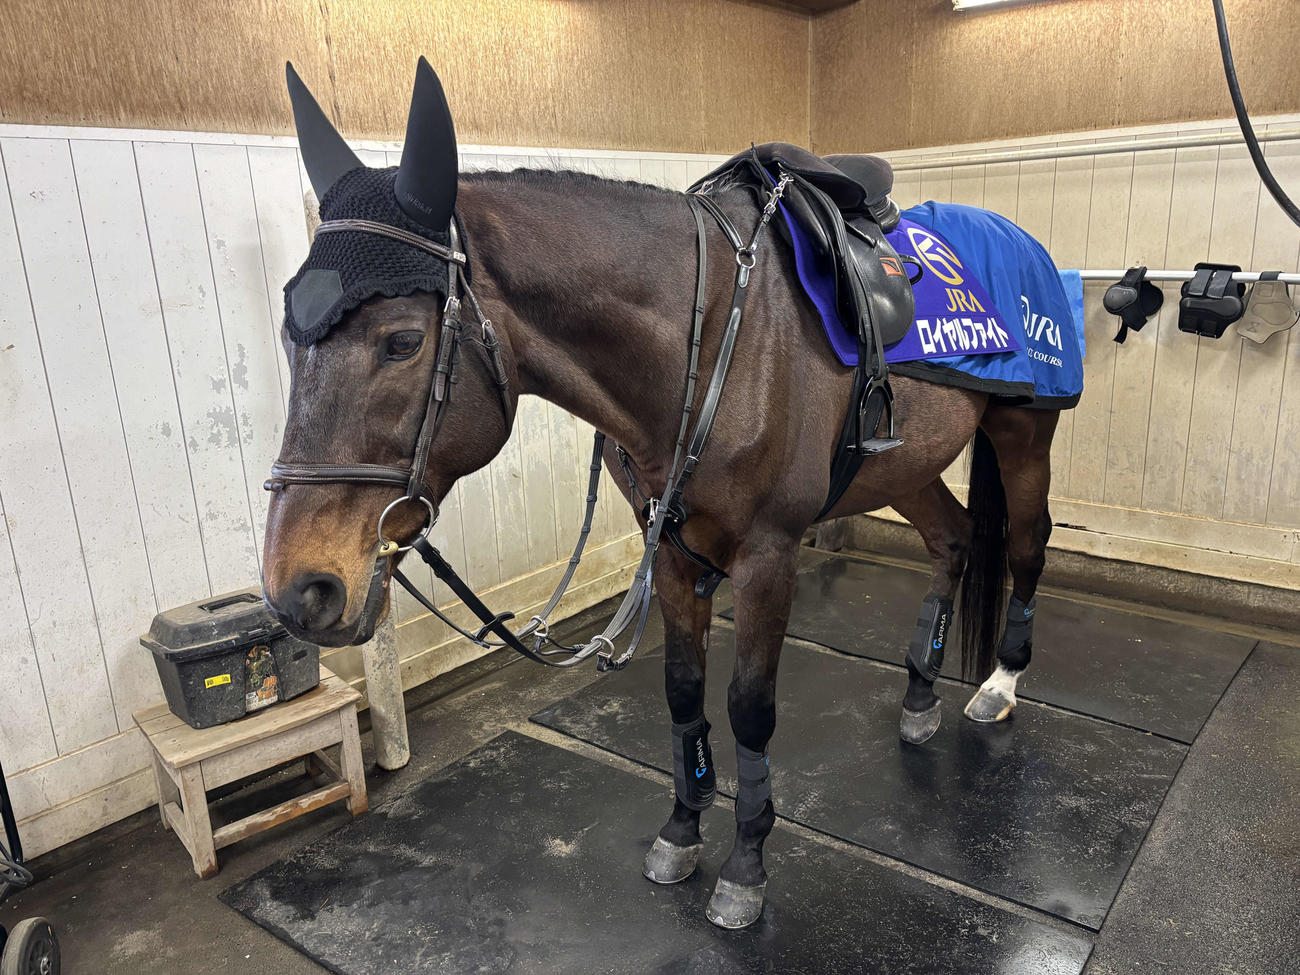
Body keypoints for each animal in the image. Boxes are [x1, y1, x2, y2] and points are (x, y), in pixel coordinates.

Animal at [261, 59, 1060, 930]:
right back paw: (919, 691)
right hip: (908, 465)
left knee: (1026, 546)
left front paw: (746, 864)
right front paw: (683, 828)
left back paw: (998, 685)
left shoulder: (769, 556)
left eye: (403, 340)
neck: (707, 337)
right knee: (952, 540)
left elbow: (749, 707)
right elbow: (682, 692)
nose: (299, 588)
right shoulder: (670, 548)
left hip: (1025, 435)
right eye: (289, 333)